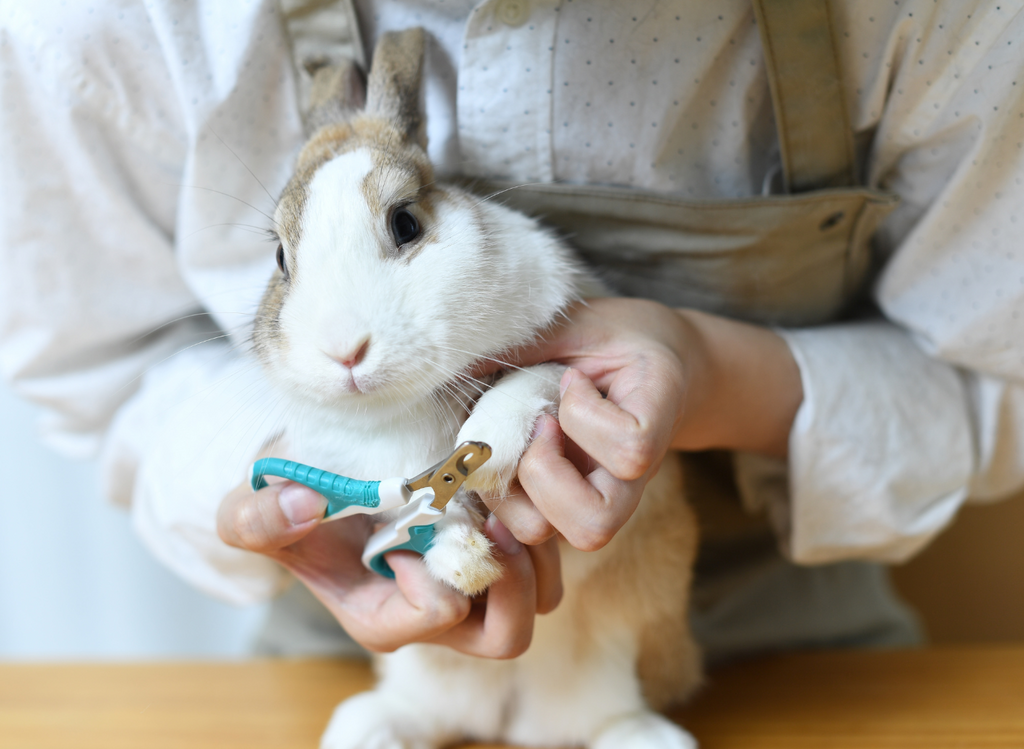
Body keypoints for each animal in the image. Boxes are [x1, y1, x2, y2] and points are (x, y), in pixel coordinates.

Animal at [250, 27, 700, 749]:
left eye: (406, 222)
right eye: (280, 259)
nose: (344, 351)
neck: (404, 403)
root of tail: (511, 715)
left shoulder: (562, 350)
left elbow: (533, 381)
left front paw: (489, 445)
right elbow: (413, 521)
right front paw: (464, 561)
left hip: (622, 648)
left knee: (610, 712)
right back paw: (368, 726)